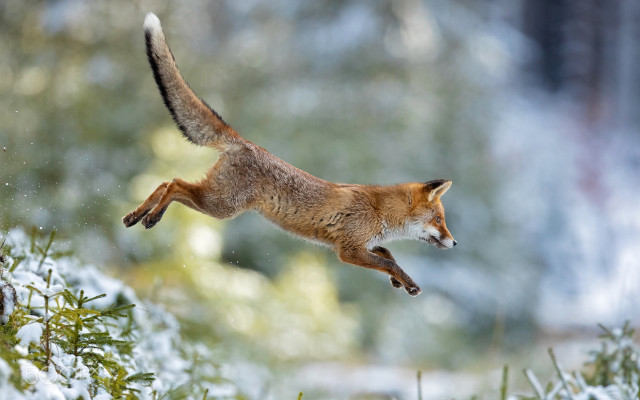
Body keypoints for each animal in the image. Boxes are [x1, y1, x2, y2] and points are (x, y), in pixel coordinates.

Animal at [123, 13, 457, 296]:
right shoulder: (347, 249)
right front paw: (405, 281)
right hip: (221, 206)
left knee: (165, 183)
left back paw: (135, 216)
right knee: (174, 183)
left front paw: (402, 282)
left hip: (217, 202)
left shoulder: (363, 245)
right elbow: (388, 260)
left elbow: (389, 256)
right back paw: (151, 217)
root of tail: (244, 141)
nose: (454, 242)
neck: (379, 211)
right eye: (439, 220)